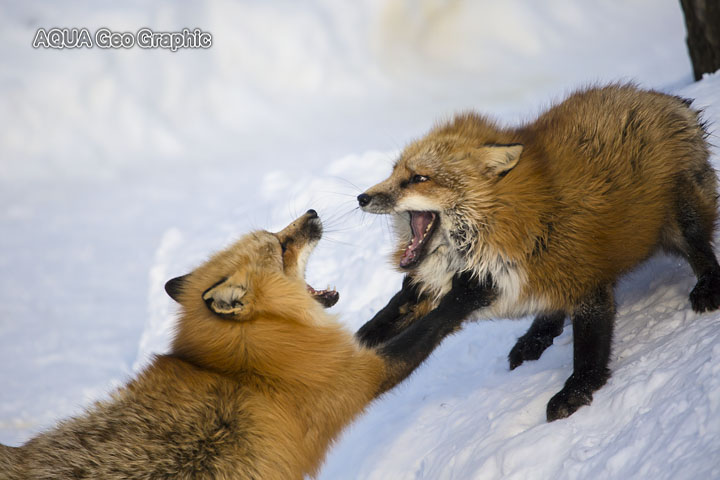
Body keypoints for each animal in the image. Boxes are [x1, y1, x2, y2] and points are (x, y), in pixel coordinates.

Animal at [0, 210, 486, 480]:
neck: (249, 365)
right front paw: (467, 292)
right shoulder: (356, 378)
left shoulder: (335, 353)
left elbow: (384, 320)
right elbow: (428, 330)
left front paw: (413, 291)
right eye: (281, 246)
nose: (312, 212)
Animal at [356, 84, 719, 421]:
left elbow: (588, 352)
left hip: (681, 221)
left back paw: (707, 286)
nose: (361, 198)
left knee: (702, 251)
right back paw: (536, 337)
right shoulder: (441, 286)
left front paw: (575, 392)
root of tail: (667, 97)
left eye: (419, 178)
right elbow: (385, 322)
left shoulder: (585, 280)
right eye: (393, 172)